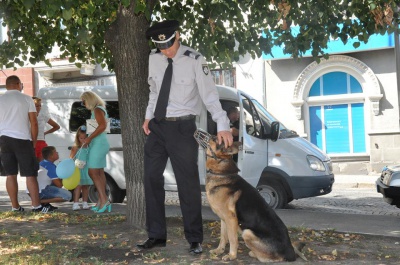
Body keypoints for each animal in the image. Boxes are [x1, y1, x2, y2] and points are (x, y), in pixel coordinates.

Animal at [195, 129, 306, 260]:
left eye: (214, 138)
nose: (198, 130)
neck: (221, 172)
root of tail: (290, 251)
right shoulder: (223, 218)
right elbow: (223, 237)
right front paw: (219, 250)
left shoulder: (231, 219)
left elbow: (232, 239)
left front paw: (231, 255)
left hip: (247, 232)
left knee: (268, 258)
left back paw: (253, 253)